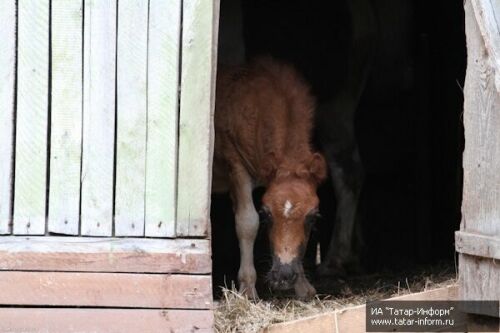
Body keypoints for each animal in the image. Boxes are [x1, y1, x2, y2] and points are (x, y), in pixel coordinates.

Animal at [212, 57, 326, 298]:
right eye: (266, 214)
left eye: (313, 217)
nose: (284, 275)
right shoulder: (236, 166)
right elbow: (247, 222)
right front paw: (248, 290)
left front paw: (303, 286)